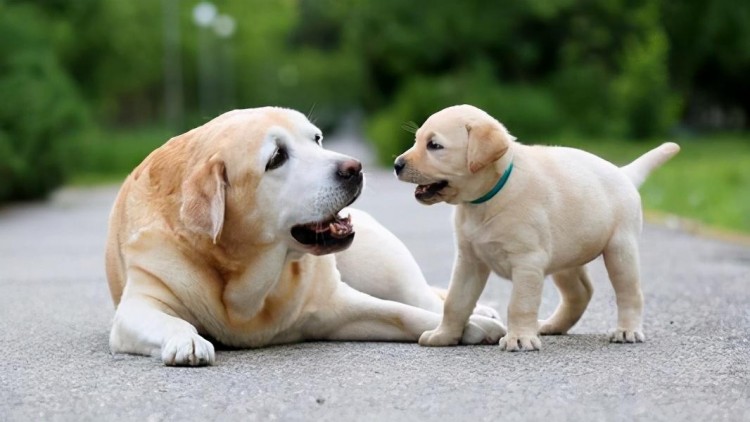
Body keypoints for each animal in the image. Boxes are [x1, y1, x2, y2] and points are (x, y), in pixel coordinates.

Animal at [106, 106, 506, 366]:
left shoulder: (337, 305)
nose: (354, 168)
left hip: (384, 264)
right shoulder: (137, 306)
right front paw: (186, 339)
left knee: (421, 297)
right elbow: (168, 320)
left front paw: (471, 327)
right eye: (276, 157)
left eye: (316, 139)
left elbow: (405, 314)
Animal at [396, 104, 684, 352]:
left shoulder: (527, 262)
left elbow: (519, 304)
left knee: (629, 293)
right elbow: (456, 302)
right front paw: (444, 335)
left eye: (434, 145)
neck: (490, 196)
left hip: (620, 250)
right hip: (566, 260)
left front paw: (520, 338)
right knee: (581, 293)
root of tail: (624, 173)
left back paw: (627, 330)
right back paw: (552, 325)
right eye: (417, 140)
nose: (397, 164)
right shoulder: (469, 261)